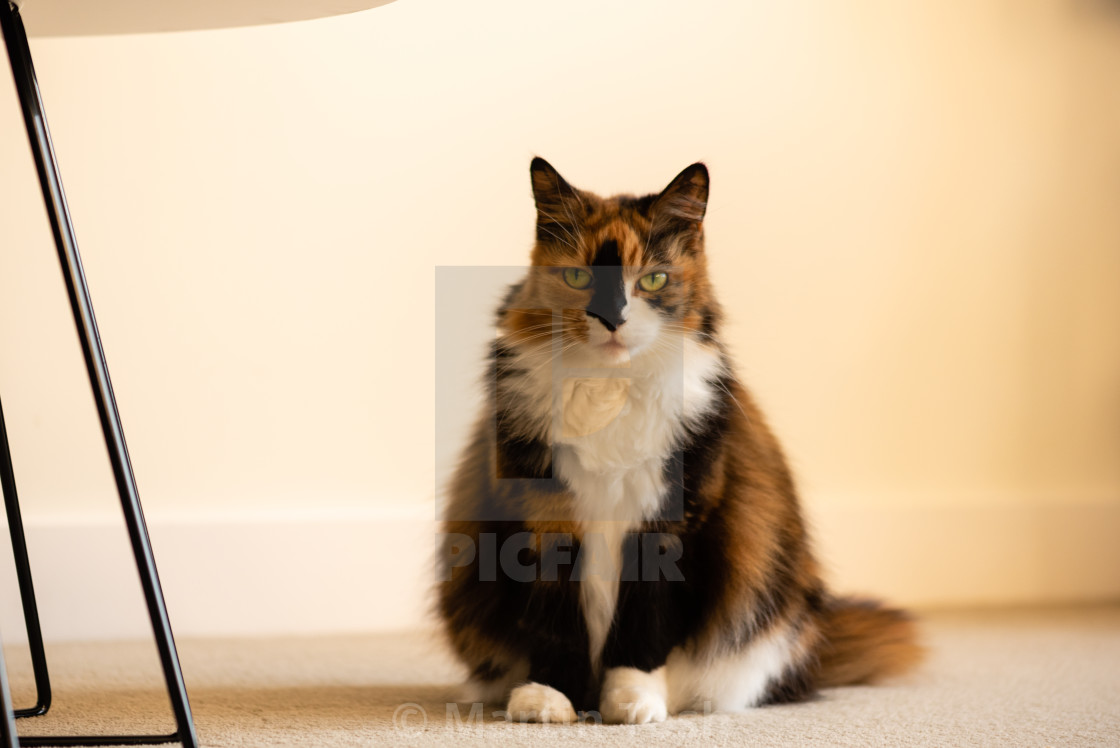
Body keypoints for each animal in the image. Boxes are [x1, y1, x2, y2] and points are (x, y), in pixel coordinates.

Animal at [434, 157, 918, 725]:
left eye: (653, 279)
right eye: (577, 276)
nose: (612, 318)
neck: (610, 388)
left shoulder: (672, 521)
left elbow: (646, 626)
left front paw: (632, 700)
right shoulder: (543, 517)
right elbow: (556, 622)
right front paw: (551, 697)